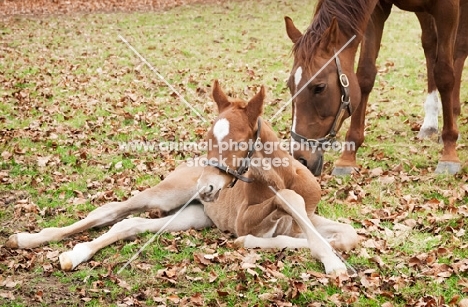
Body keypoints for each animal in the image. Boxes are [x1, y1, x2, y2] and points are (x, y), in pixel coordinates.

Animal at [5, 80, 358, 276]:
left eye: (236, 142)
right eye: (207, 137)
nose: (207, 187)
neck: (285, 176)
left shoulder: (306, 218)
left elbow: (346, 234)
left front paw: (330, 248)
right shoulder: (246, 220)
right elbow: (284, 206)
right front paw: (332, 262)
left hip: (191, 216)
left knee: (129, 225)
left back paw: (73, 254)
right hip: (166, 194)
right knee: (109, 212)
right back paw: (32, 240)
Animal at [286, 0, 464, 176]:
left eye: (320, 87)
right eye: (290, 85)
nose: (300, 159)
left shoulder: (448, 8)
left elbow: (444, 75)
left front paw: (449, 154)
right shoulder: (377, 11)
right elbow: (365, 75)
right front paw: (347, 158)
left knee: (459, 49)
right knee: (430, 44)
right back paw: (430, 124)